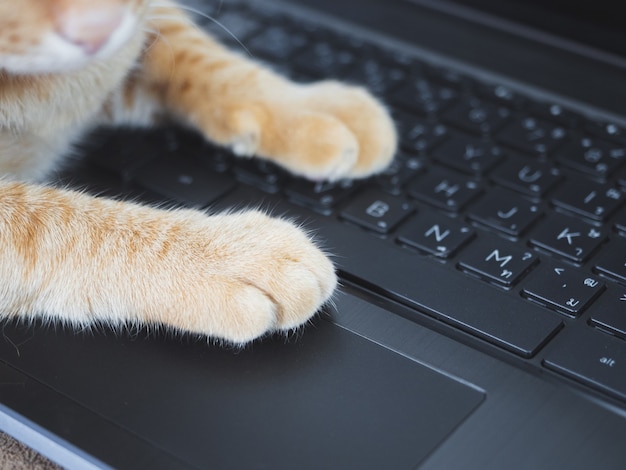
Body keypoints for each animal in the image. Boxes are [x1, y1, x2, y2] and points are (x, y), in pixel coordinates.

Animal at [0, 0, 398, 346]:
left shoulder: (144, 22)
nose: (98, 27)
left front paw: (306, 107)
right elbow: (49, 224)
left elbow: (194, 52)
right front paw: (224, 255)